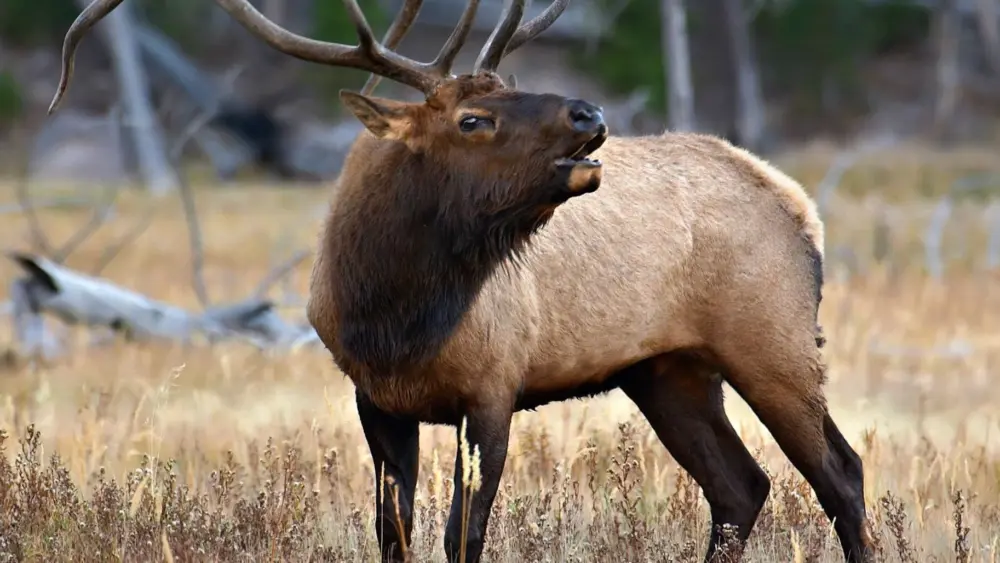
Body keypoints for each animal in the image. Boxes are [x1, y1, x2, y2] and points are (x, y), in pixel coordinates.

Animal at [50, 1, 875, 562]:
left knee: (841, 472)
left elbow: (461, 536)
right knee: (741, 486)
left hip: (772, 339)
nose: (590, 112)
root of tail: (799, 205)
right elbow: (394, 531)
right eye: (473, 118)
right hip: (666, 369)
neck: (395, 316)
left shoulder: (492, 390)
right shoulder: (376, 398)